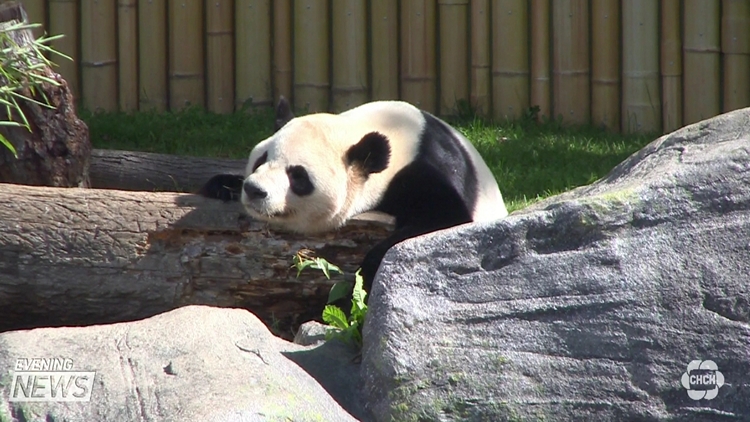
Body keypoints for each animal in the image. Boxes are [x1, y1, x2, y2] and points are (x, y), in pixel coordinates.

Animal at [198, 97, 512, 292]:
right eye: (261, 160)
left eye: (297, 176)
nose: (255, 190)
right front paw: (223, 185)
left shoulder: (425, 168)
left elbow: (448, 217)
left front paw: (370, 271)